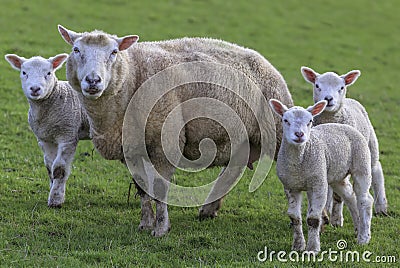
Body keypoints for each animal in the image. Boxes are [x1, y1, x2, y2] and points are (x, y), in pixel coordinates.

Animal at [4, 52, 90, 207]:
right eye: (24, 72)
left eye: (49, 73)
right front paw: (53, 189)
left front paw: (56, 199)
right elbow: (50, 167)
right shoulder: (45, 138)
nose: (35, 89)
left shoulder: (68, 135)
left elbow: (59, 168)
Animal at [57, 24, 294, 236]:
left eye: (114, 52)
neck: (133, 75)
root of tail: (261, 59)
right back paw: (208, 209)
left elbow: (160, 188)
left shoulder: (165, 143)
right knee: (233, 169)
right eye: (76, 50)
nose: (93, 81)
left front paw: (161, 229)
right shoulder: (131, 148)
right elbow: (142, 188)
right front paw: (145, 224)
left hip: (278, 129)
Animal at [268, 99, 376, 253]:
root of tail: (345, 126)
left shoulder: (318, 183)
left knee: (365, 200)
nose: (299, 134)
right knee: (350, 196)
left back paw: (363, 238)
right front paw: (298, 246)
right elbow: (294, 217)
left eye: (310, 121)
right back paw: (358, 228)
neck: (298, 164)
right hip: (337, 174)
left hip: (362, 164)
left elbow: (313, 219)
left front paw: (312, 248)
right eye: (285, 120)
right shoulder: (290, 186)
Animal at [302, 65, 390, 226]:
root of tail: (350, 100)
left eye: (341, 87)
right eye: (317, 85)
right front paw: (325, 214)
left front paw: (337, 220)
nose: (328, 99)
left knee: (376, 169)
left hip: (369, 145)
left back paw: (381, 206)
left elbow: (338, 195)